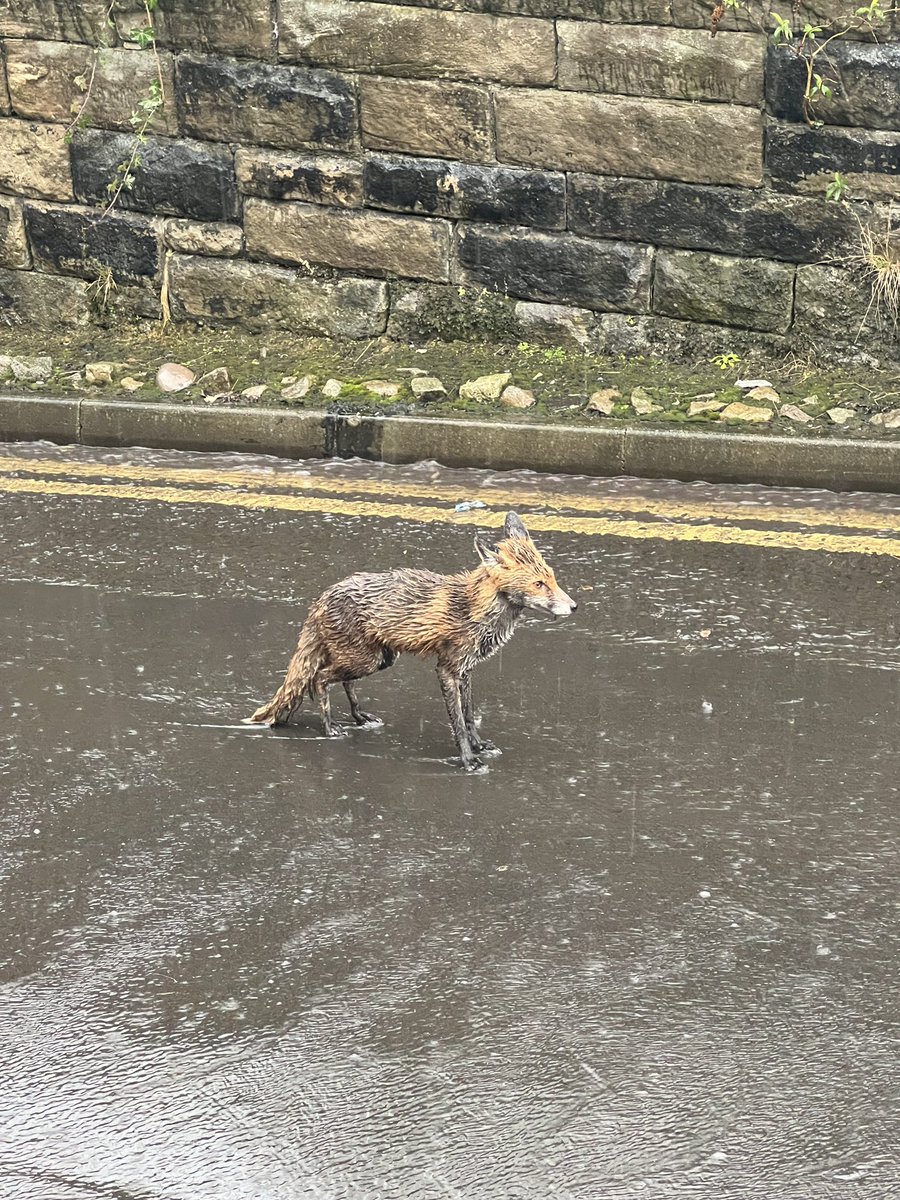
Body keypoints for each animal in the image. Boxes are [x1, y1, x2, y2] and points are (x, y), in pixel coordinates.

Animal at [245, 511, 576, 769]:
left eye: (552, 577)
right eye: (538, 584)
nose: (574, 606)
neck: (474, 608)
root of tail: (322, 596)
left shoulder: (466, 670)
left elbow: (470, 716)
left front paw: (479, 745)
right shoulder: (447, 669)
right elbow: (457, 722)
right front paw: (468, 760)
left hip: (378, 659)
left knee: (342, 680)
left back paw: (359, 716)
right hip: (365, 659)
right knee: (320, 679)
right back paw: (330, 727)